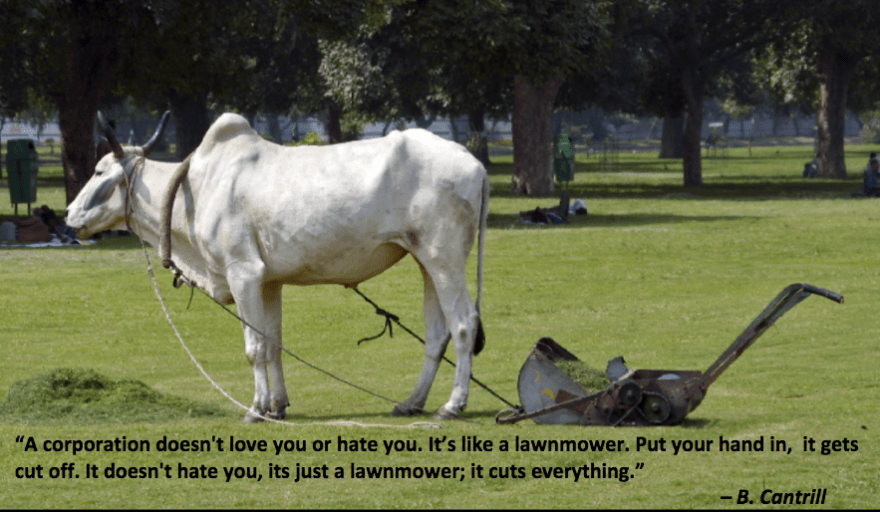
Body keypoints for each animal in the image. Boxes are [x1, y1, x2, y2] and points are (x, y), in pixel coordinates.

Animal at [66, 112, 489, 422]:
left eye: (100, 172)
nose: (70, 214)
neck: (197, 187)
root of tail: (476, 165)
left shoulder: (243, 273)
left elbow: (254, 348)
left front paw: (256, 409)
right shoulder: (268, 282)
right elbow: (273, 345)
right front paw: (277, 405)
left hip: (445, 258)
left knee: (463, 325)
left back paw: (452, 406)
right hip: (426, 261)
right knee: (436, 334)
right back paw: (411, 402)